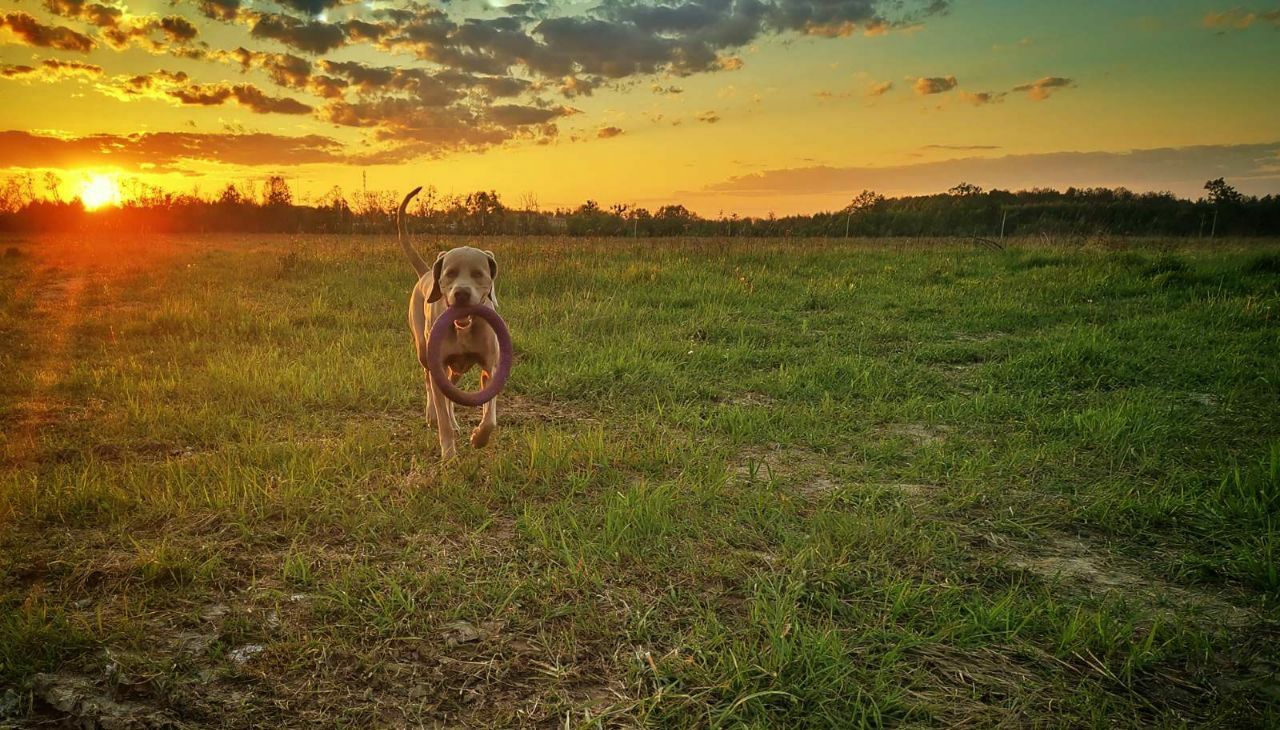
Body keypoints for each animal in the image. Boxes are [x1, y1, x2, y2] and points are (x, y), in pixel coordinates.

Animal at [394, 186, 499, 461]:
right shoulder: (437, 362)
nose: (461, 293)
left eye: (478, 274)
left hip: (458, 367)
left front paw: (479, 438)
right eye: (450, 273)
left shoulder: (491, 367)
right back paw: (432, 415)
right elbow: (441, 410)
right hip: (423, 349)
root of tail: (425, 274)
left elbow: (490, 417)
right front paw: (449, 455)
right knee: (429, 381)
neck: (464, 329)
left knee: (451, 385)